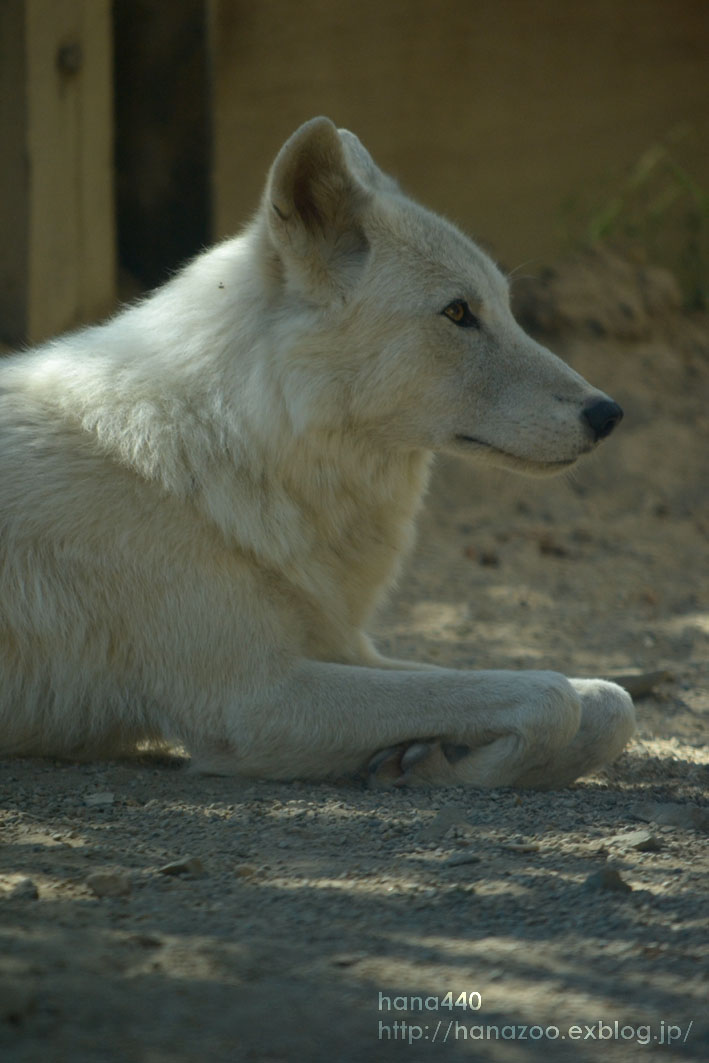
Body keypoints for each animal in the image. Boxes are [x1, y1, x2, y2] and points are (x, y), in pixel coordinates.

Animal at [0, 118, 633, 790]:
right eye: (459, 312)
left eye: (506, 308)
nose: (608, 414)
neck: (228, 443)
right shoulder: (256, 702)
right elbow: (553, 698)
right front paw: (452, 766)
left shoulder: (343, 649)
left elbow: (609, 703)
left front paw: (428, 755)